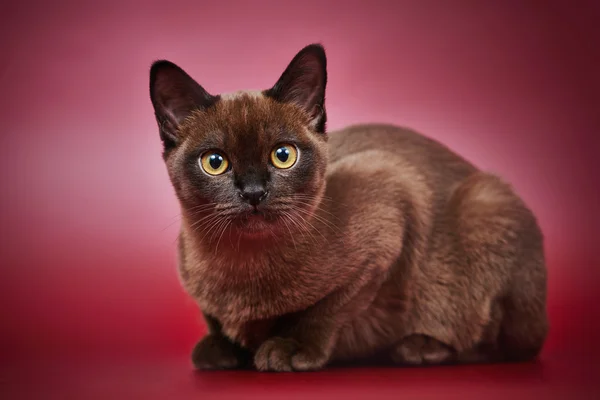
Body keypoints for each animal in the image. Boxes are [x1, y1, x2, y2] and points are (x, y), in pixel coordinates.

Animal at [148, 43, 548, 372]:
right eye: (215, 162)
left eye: (283, 156)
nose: (254, 193)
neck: (239, 268)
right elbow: (215, 320)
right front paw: (222, 349)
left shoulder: (390, 205)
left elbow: (326, 310)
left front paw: (289, 348)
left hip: (484, 205)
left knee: (502, 342)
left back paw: (418, 348)